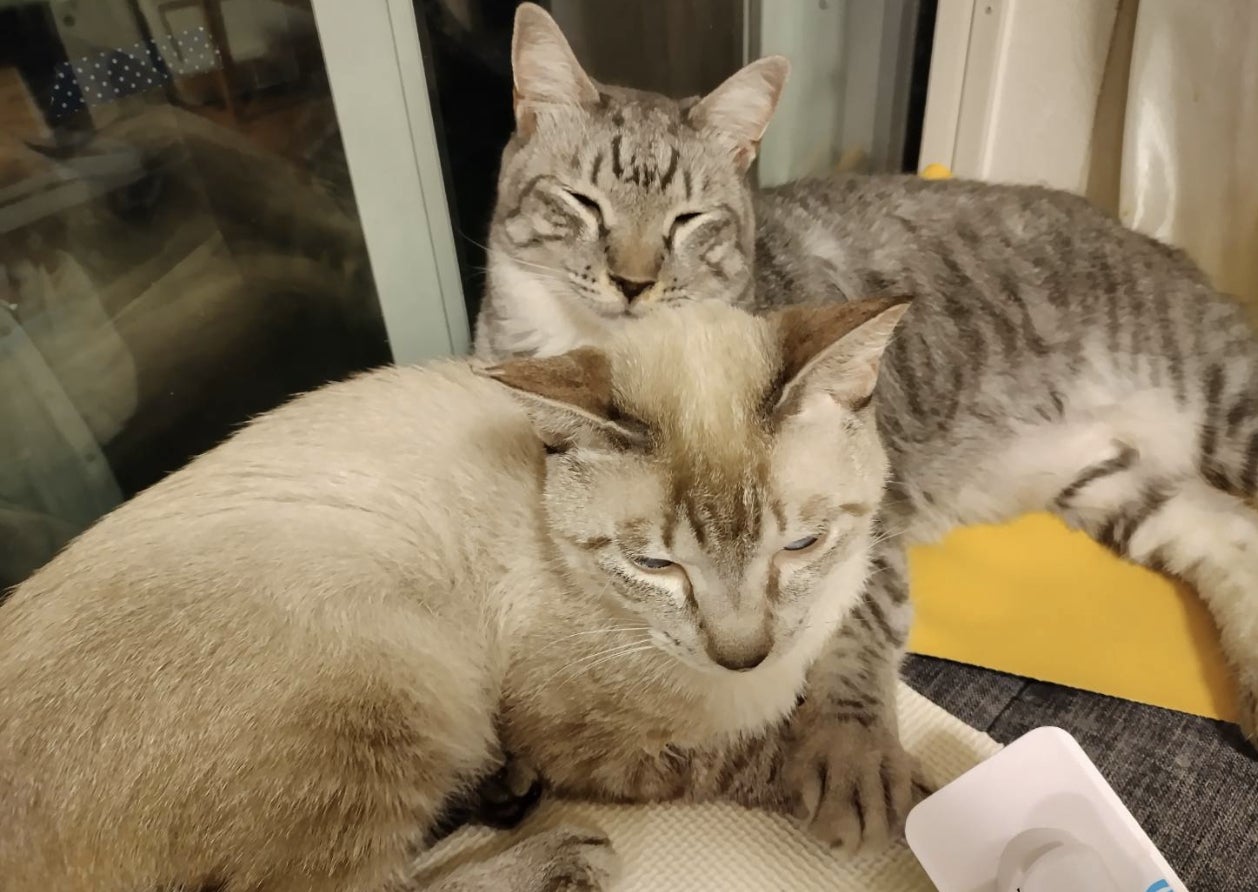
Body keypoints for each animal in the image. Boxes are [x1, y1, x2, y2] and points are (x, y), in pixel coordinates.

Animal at [0, 297, 915, 891]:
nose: (743, 654)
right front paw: (866, 791)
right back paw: (559, 857)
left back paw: (500, 791)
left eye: (799, 546)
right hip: (404, 675)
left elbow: (852, 662)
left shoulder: (853, 586)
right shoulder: (589, 740)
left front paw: (856, 747)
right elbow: (750, 752)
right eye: (656, 566)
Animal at [474, 3, 1258, 744]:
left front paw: (846, 748)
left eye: (690, 220)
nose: (633, 282)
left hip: (1229, 405)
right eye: (582, 202)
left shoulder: (860, 500)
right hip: (1110, 482)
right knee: (1232, 538)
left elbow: (850, 620)